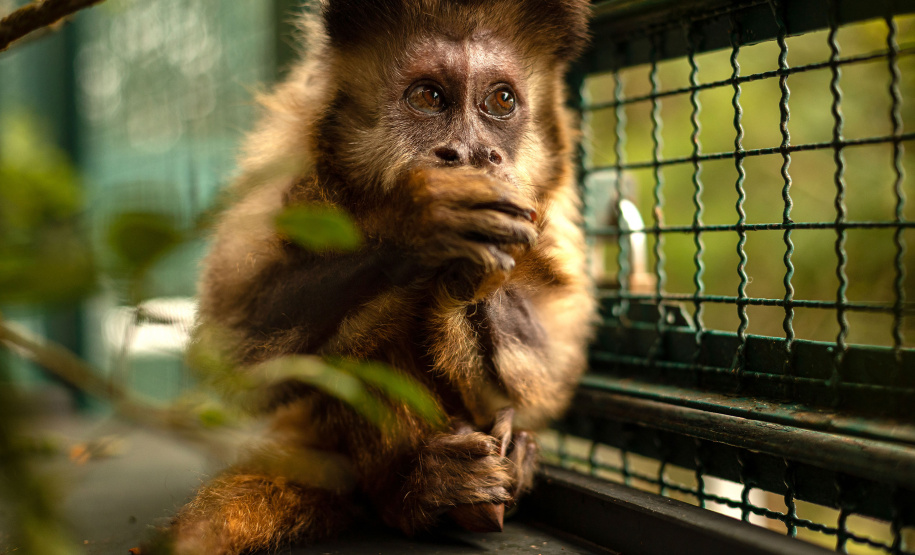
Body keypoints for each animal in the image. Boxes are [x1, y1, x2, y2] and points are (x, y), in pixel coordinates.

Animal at [161, 1, 595, 553]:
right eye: (429, 97)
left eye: (501, 101)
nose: (471, 153)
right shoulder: (288, 154)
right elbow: (235, 352)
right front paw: (420, 223)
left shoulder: (552, 208)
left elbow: (551, 372)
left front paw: (476, 273)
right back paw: (414, 492)